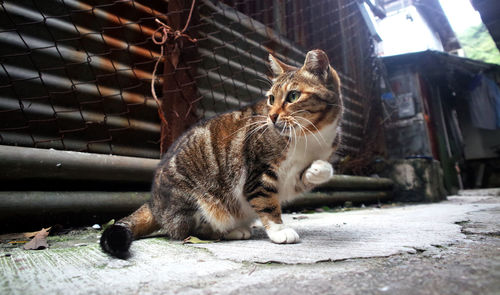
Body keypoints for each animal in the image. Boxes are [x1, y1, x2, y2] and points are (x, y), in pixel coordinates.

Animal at [99, 48, 342, 260]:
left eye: (293, 96)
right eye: (271, 99)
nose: (272, 116)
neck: (309, 136)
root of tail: (154, 203)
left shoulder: (295, 176)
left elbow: (318, 171)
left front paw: (318, 169)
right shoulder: (259, 173)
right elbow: (267, 202)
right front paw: (279, 230)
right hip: (196, 198)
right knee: (189, 231)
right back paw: (232, 231)